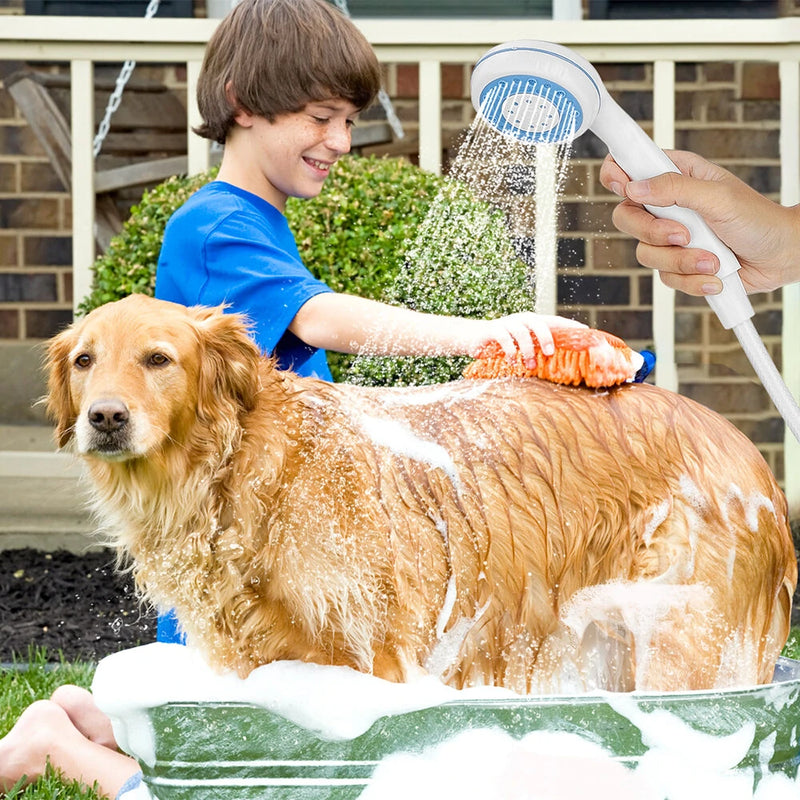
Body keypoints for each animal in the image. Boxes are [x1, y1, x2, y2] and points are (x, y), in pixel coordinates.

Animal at [47, 294, 796, 692]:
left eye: (158, 359)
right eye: (85, 360)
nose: (105, 417)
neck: (247, 471)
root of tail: (741, 446)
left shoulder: (380, 654)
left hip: (681, 631)